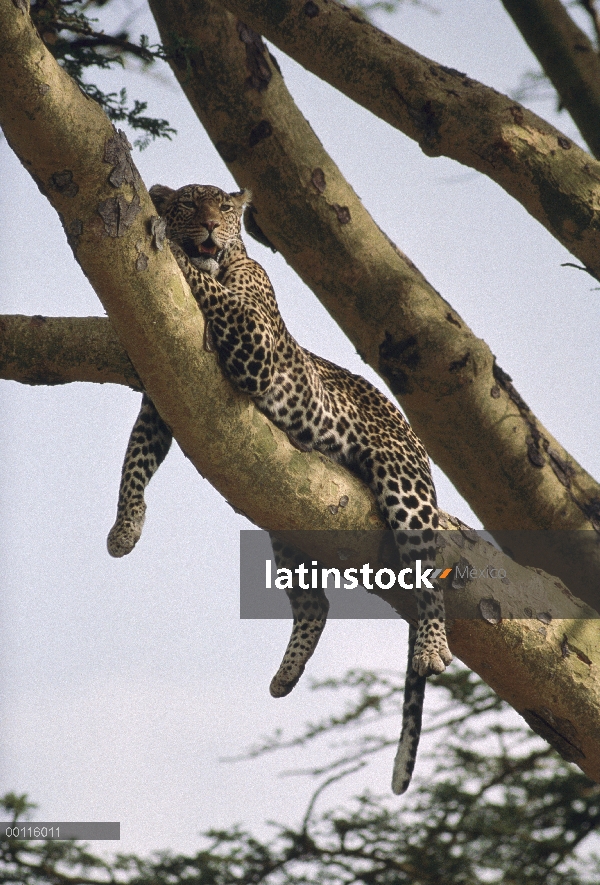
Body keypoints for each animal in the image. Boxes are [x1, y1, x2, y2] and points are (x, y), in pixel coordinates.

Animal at [108, 183, 452, 792]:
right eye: (189, 205)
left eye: (222, 209)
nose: (208, 228)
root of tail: (405, 424)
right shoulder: (162, 399)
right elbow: (137, 459)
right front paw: (125, 527)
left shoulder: (255, 345)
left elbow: (209, 289)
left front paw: (168, 248)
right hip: (289, 515)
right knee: (316, 601)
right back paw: (285, 676)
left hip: (404, 484)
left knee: (425, 571)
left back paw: (433, 647)